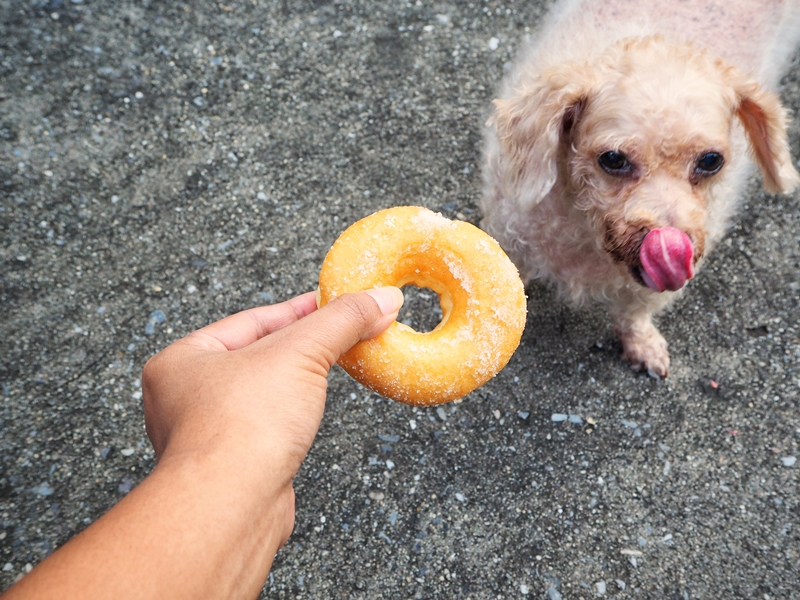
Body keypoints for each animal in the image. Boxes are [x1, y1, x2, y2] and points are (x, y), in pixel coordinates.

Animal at [482, 0, 800, 376]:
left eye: (711, 161)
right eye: (613, 158)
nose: (670, 244)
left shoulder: (646, 290)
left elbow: (633, 313)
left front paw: (643, 345)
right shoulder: (510, 233)